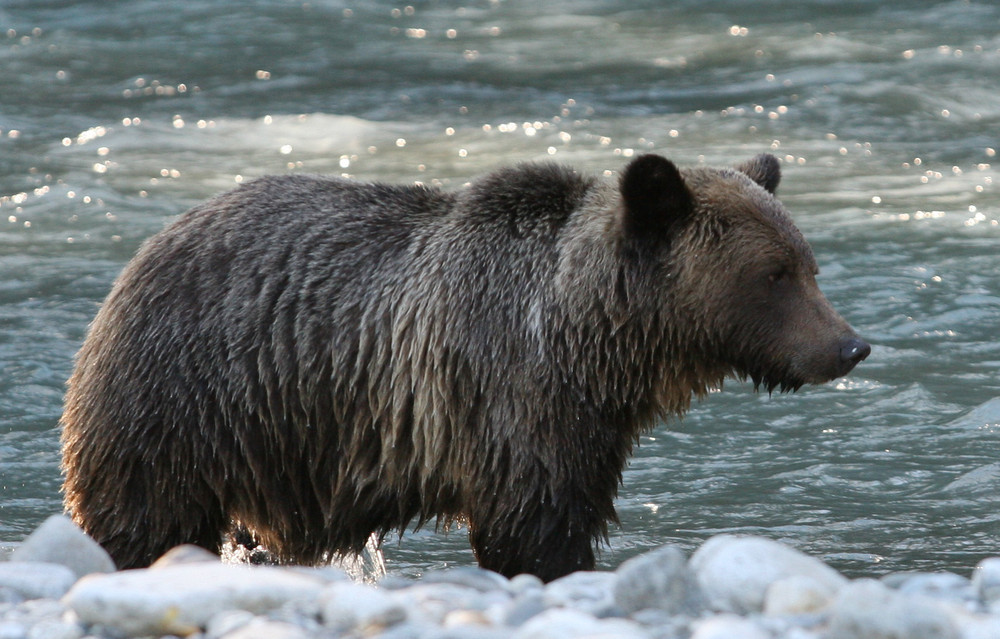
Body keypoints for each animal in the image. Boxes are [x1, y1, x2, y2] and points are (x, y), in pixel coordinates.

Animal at [60, 153, 869, 582]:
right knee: (143, 519)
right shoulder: (510, 392)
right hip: (183, 403)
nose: (849, 344)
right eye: (775, 274)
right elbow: (533, 526)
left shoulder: (587, 426)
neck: (590, 341)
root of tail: (138, 258)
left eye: (808, 265)